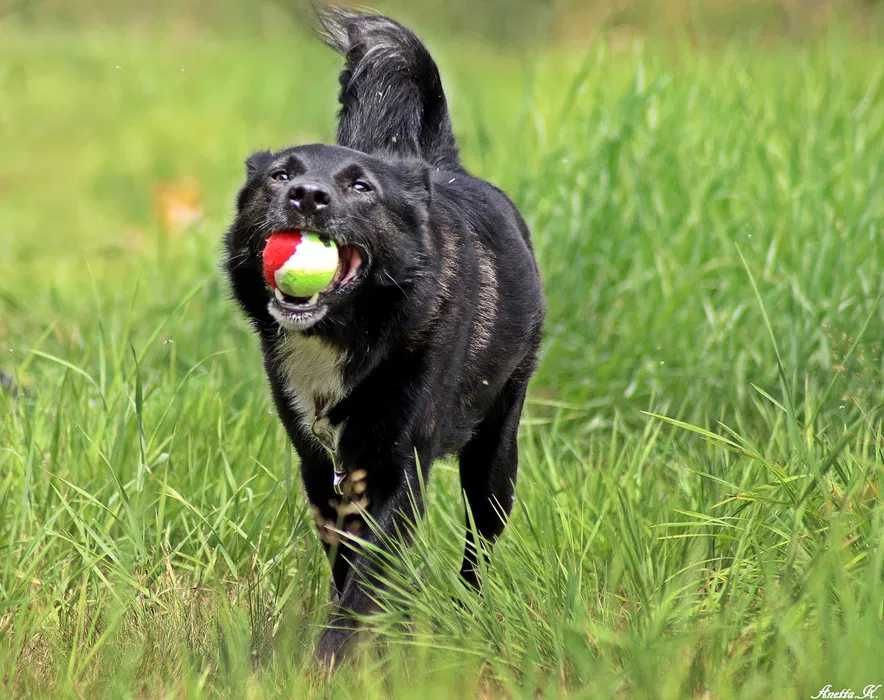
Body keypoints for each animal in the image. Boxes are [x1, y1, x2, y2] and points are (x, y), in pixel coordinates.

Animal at [224, 9, 544, 668]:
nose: (307, 196)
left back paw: (467, 615)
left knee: (479, 548)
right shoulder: (322, 472)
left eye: (361, 188)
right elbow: (346, 564)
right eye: (281, 175)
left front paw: (333, 661)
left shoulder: (397, 470)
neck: (349, 332)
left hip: (495, 460)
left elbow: (364, 579)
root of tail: (441, 167)